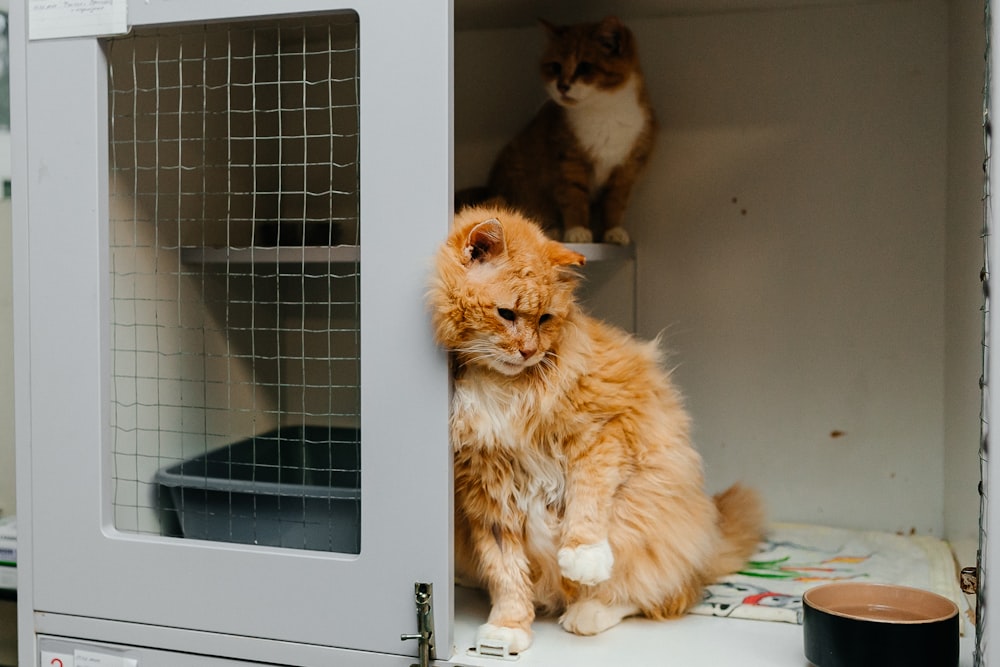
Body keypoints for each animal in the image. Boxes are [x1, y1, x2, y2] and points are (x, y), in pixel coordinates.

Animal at [430, 206, 764, 656]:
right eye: (507, 315)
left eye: (546, 319)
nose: (529, 351)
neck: (503, 387)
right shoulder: (485, 487)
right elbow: (505, 571)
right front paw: (507, 629)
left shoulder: (602, 434)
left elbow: (586, 501)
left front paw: (583, 556)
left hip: (649, 524)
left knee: (657, 594)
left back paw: (588, 611)